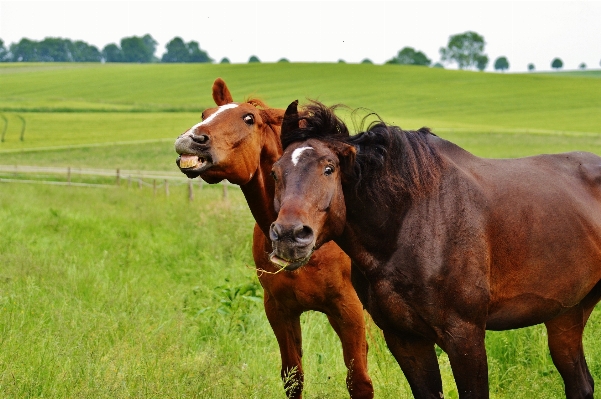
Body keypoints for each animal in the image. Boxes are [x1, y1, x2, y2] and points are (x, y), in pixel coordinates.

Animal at [172, 79, 376, 398]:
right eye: (205, 113)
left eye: (248, 118)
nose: (189, 140)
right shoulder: (280, 311)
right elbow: (293, 378)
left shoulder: (349, 311)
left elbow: (359, 382)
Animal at [270, 101, 600, 399]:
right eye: (275, 172)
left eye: (329, 169)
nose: (289, 235)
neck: (409, 223)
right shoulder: (405, 339)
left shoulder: (465, 337)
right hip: (566, 315)